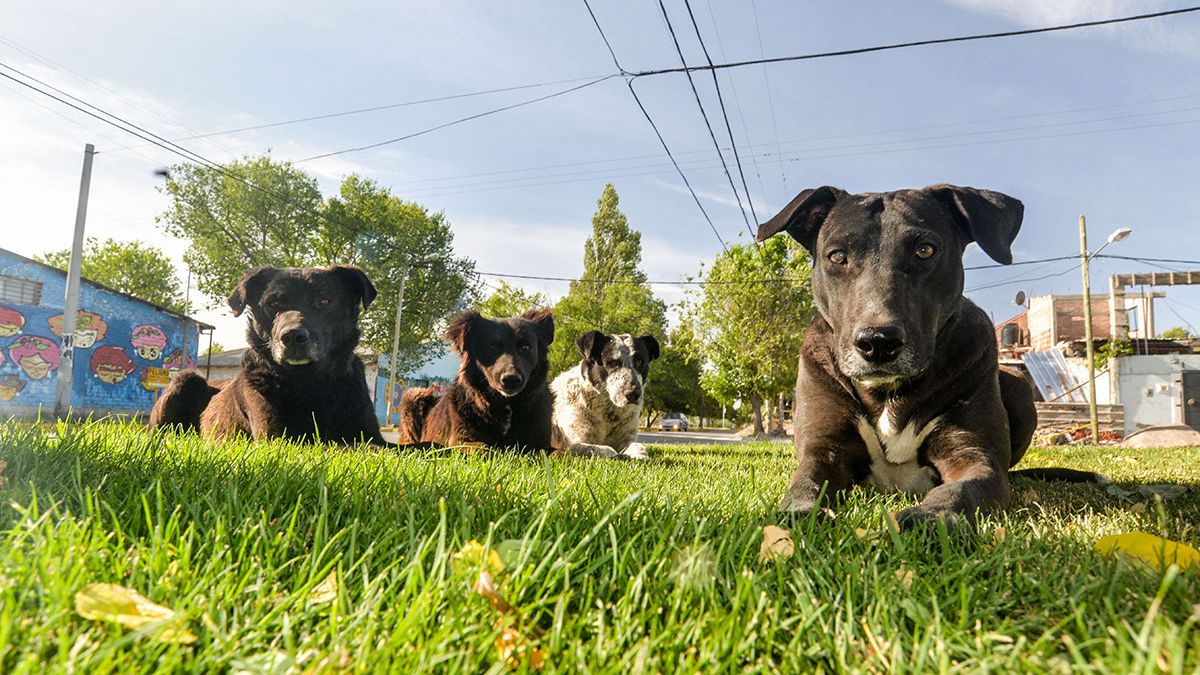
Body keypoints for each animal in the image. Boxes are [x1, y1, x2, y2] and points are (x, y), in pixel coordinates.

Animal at [147, 264, 386, 446]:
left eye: (324, 301)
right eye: (273, 303)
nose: (292, 336)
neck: (309, 381)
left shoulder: (371, 433)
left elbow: (380, 446)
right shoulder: (278, 437)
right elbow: (349, 446)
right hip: (186, 378)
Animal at [400, 307, 554, 449]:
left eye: (525, 348)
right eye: (492, 347)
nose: (511, 379)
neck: (505, 403)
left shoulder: (538, 443)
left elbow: (556, 453)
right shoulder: (462, 440)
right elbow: (485, 448)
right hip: (414, 394)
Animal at [753, 184, 1099, 530]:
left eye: (925, 250)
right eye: (837, 256)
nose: (878, 342)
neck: (888, 392)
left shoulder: (972, 452)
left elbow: (961, 488)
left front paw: (932, 516)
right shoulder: (824, 449)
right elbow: (806, 485)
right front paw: (795, 515)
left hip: (1018, 387)